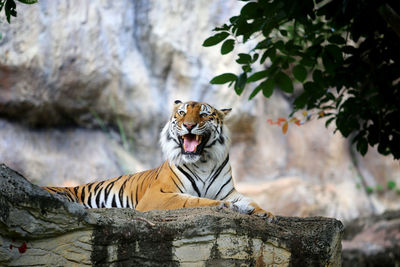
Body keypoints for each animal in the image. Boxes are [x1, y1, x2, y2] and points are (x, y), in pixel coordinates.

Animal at [43, 100, 276, 222]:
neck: (203, 162)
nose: (189, 125)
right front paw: (228, 207)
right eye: (182, 113)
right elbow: (194, 200)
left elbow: (250, 200)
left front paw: (266, 213)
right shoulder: (158, 195)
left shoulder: (229, 191)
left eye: (204, 114)